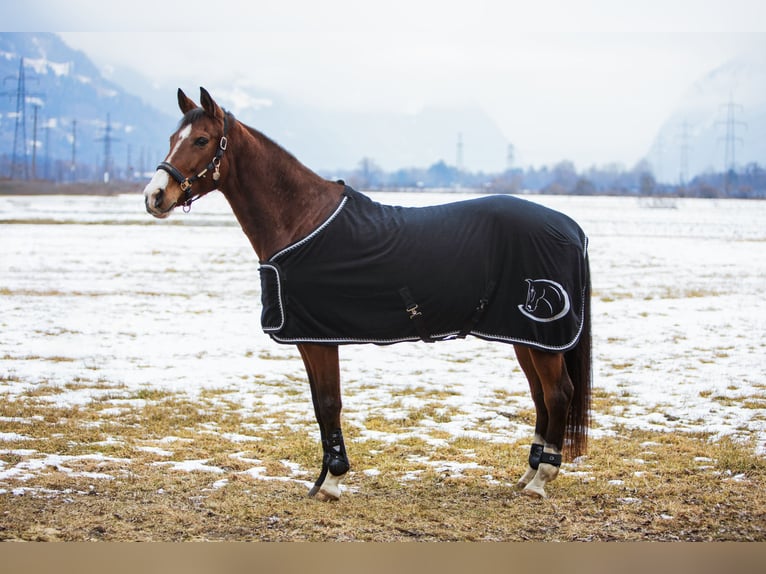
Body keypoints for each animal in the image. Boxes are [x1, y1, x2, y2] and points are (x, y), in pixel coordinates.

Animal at [143, 87, 592, 500]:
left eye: (201, 140)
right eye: (172, 138)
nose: (154, 197)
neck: (302, 220)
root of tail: (572, 228)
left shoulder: (320, 340)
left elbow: (329, 403)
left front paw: (332, 482)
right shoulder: (309, 339)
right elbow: (320, 406)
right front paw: (322, 480)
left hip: (541, 338)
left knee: (558, 394)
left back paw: (542, 479)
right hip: (524, 337)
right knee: (541, 396)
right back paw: (527, 474)